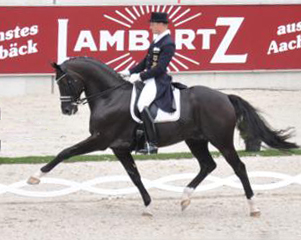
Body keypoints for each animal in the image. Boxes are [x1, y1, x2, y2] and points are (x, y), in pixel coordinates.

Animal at [27, 57, 296, 217]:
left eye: (67, 81)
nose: (67, 109)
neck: (109, 96)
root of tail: (225, 97)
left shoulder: (101, 140)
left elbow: (66, 152)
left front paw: (35, 177)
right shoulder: (118, 148)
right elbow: (134, 176)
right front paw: (148, 205)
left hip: (221, 140)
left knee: (238, 167)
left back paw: (254, 207)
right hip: (195, 139)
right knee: (207, 165)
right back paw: (185, 199)